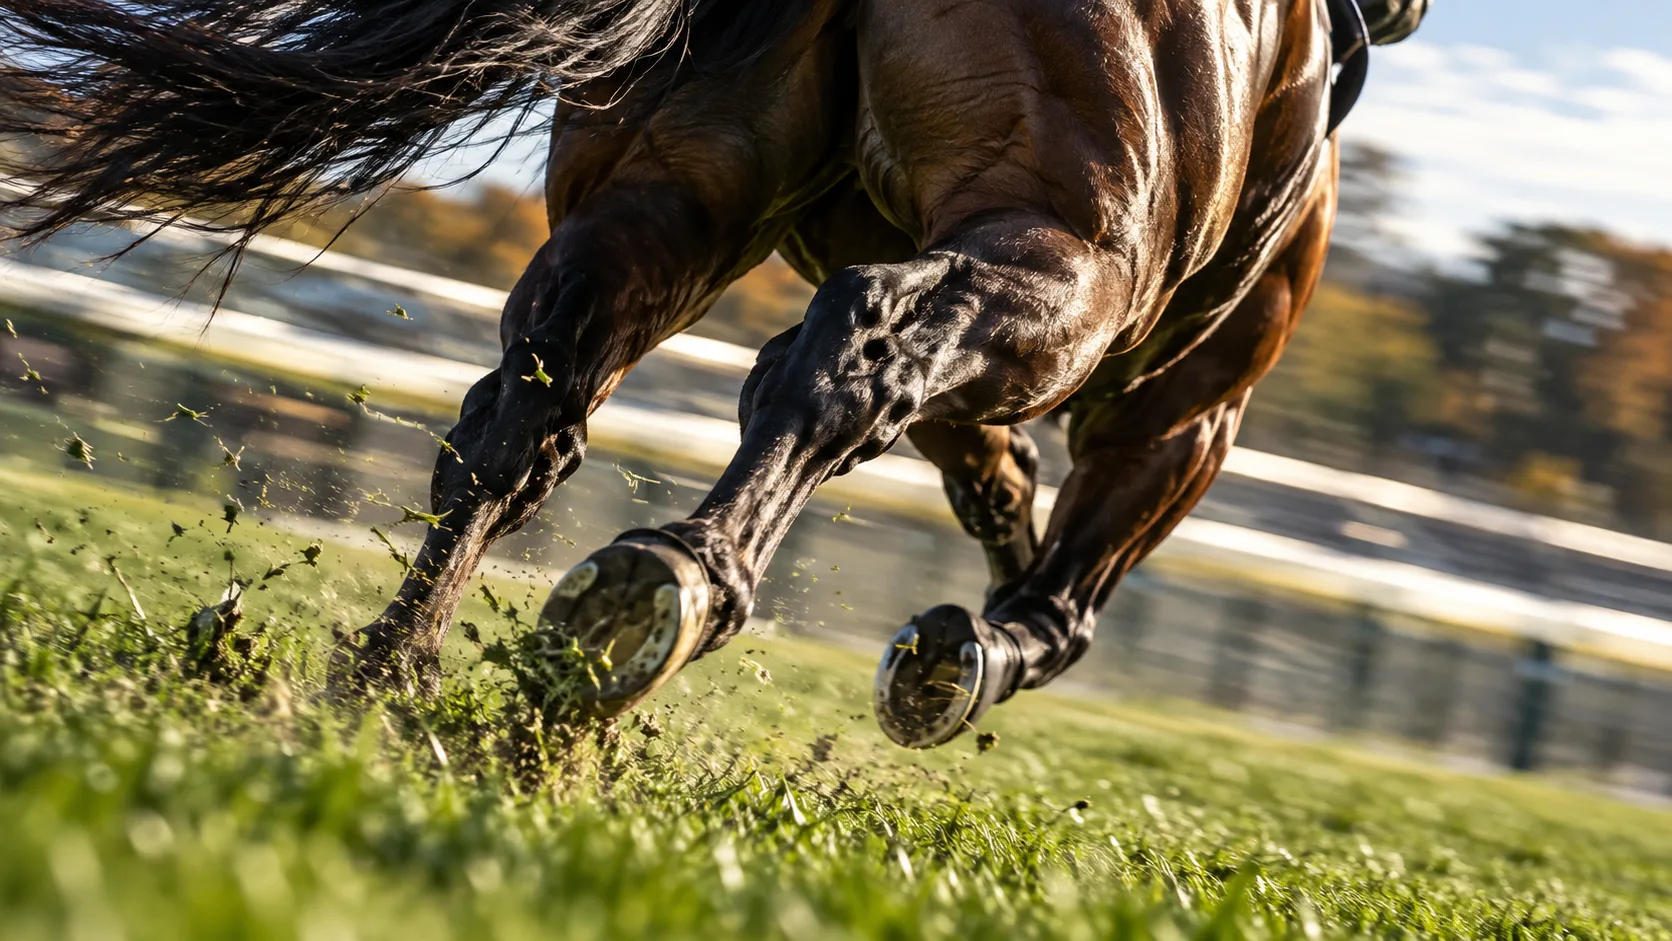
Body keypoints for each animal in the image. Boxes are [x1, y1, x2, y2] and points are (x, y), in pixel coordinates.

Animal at [0, 0, 1429, 747]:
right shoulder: (1183, 410)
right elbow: (1059, 601)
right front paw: (959, 656)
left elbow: (982, 465)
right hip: (1078, 259)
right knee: (853, 354)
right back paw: (676, 581)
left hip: (666, 191)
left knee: (521, 421)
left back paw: (391, 674)